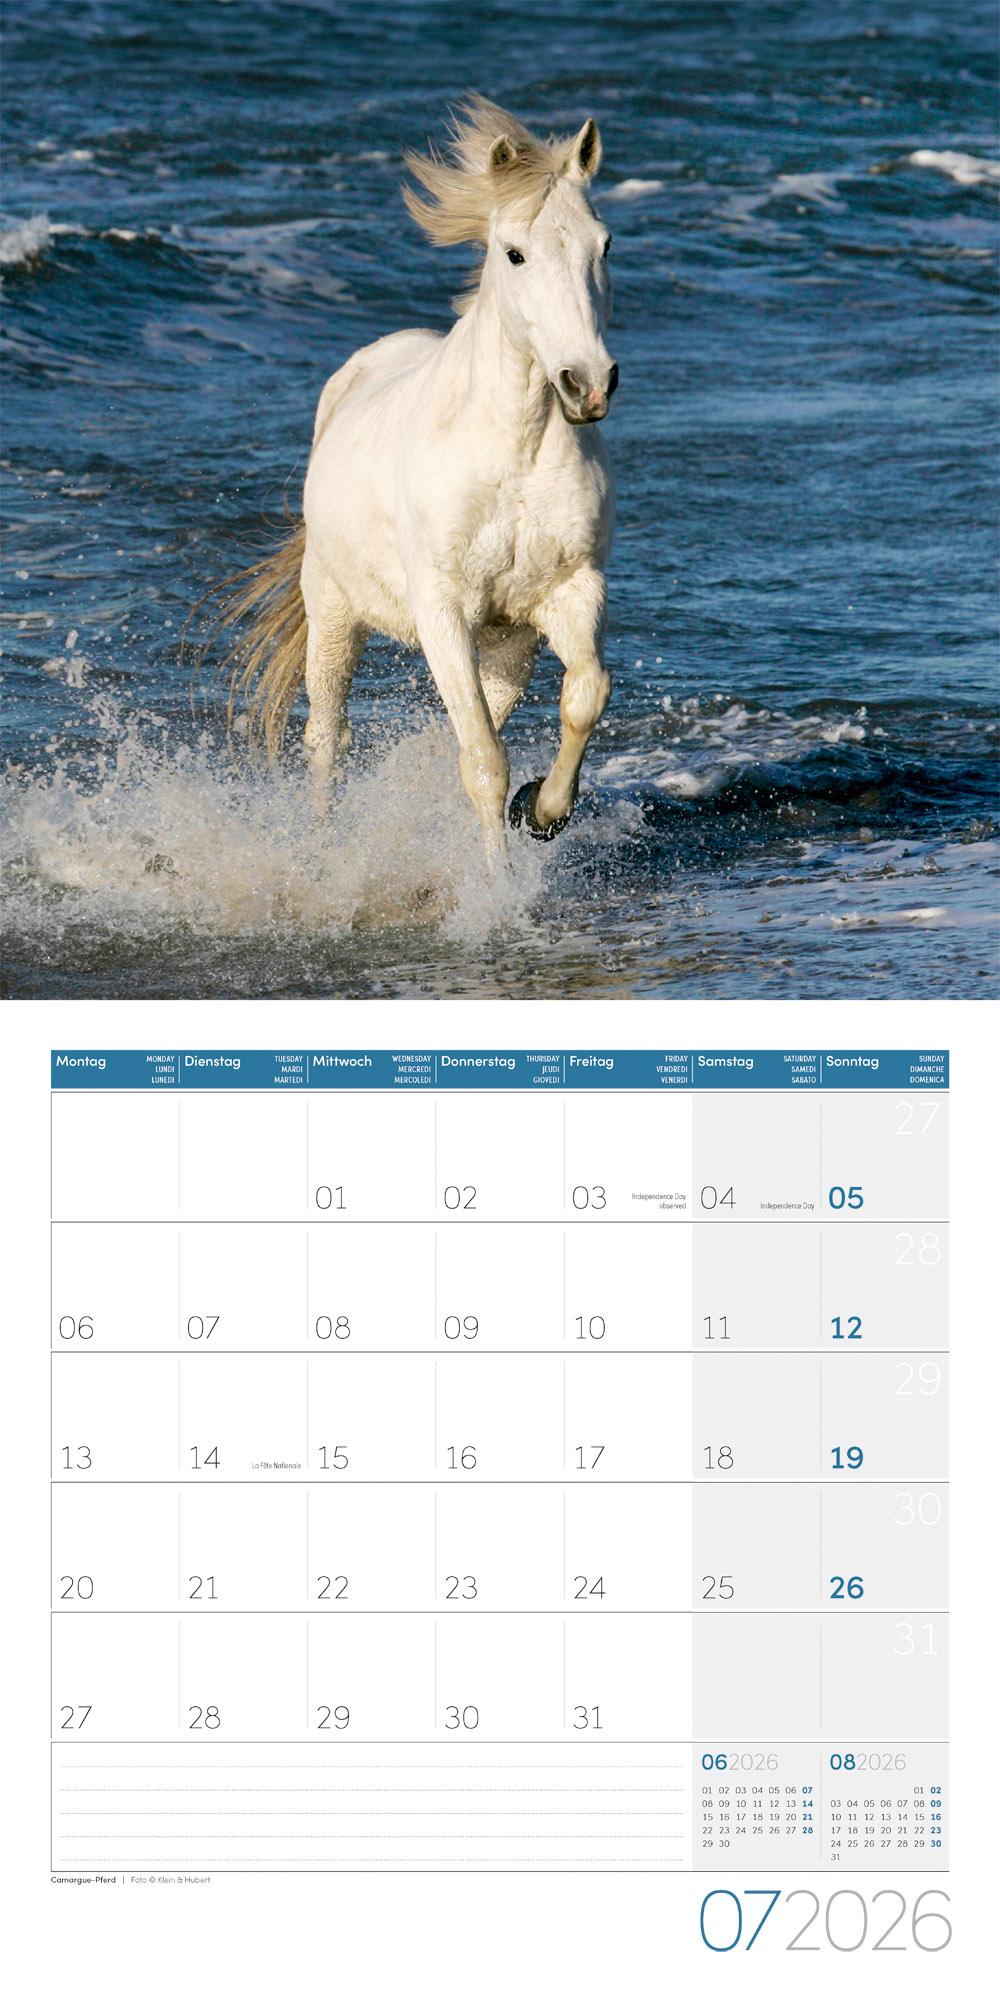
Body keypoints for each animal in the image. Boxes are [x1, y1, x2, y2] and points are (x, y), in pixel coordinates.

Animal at [224, 95, 619, 867]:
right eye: (514, 253)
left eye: (604, 246)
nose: (587, 385)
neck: (512, 452)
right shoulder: (442, 612)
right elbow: (483, 762)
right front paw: (496, 890)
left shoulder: (569, 593)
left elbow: (584, 695)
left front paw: (543, 811)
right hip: (334, 612)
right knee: (327, 737)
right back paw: (319, 852)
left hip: (508, 648)